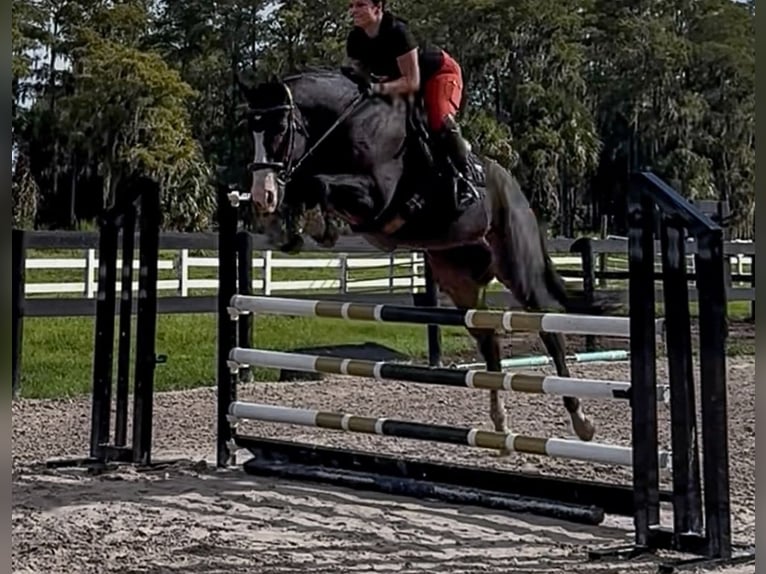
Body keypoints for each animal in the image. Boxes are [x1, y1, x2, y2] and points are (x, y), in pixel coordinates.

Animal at [236, 67, 617, 445]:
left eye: (279, 129)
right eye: (250, 131)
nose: (261, 194)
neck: (346, 123)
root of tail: (517, 191)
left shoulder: (378, 198)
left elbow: (315, 182)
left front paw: (309, 223)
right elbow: (307, 183)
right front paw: (290, 228)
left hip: (516, 265)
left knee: (548, 328)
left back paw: (581, 421)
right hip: (458, 277)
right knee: (488, 338)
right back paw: (499, 425)